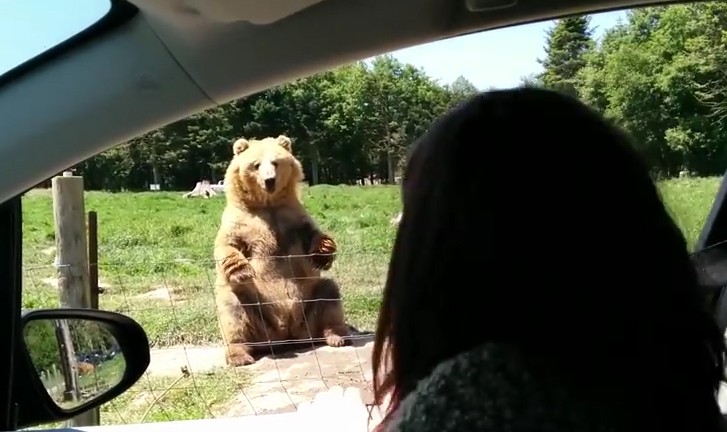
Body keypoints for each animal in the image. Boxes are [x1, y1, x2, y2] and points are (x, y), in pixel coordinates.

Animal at [213, 134, 350, 364]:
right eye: (256, 164)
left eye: (276, 162)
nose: (270, 180)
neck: (267, 204)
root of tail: (286, 336)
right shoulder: (240, 222)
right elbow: (227, 246)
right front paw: (242, 271)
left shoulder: (293, 217)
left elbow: (312, 235)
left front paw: (323, 253)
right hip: (258, 315)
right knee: (232, 308)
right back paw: (239, 354)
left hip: (309, 306)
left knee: (329, 293)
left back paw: (337, 335)